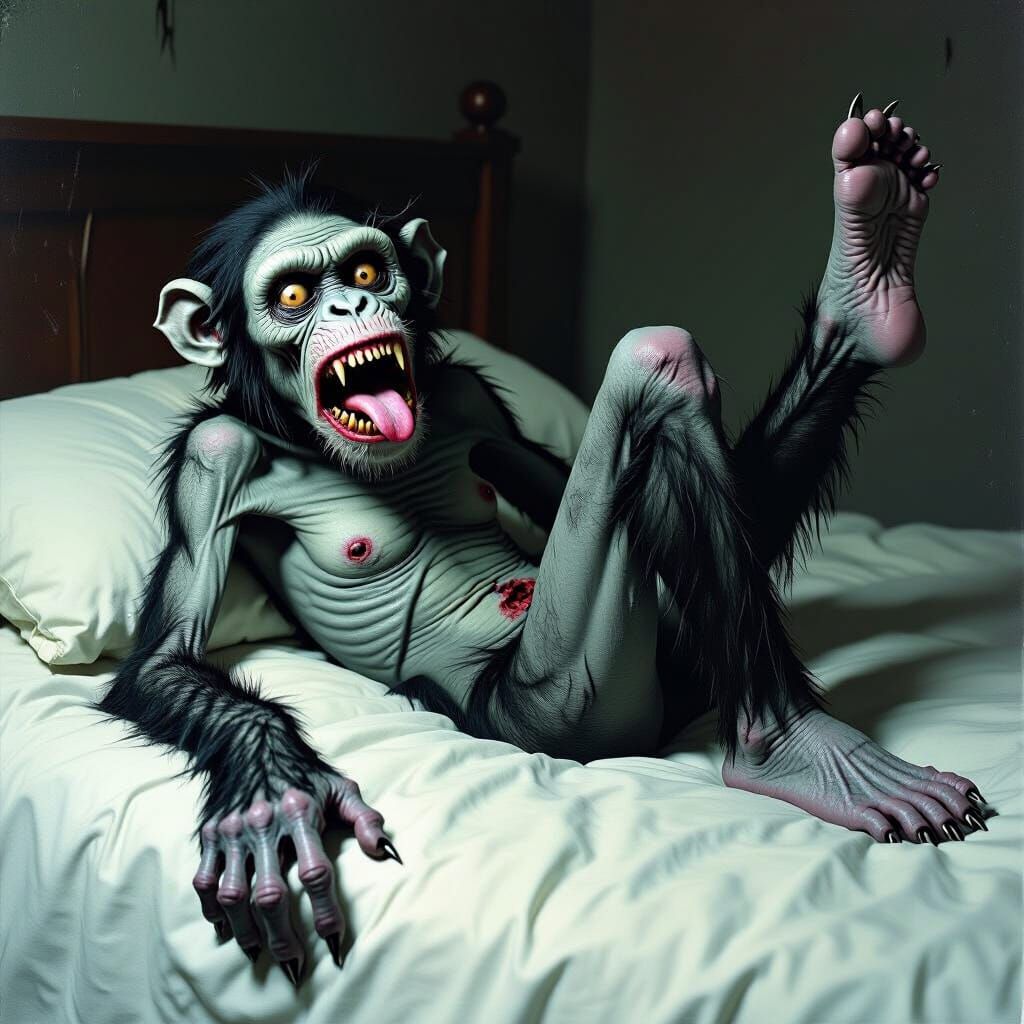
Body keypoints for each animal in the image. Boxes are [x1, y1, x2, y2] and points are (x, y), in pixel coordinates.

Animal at [98, 97, 988, 989]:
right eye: (292, 294)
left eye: (365, 275)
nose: (350, 310)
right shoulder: (213, 459)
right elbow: (168, 657)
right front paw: (273, 790)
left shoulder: (471, 397)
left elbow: (553, 484)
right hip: (569, 705)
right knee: (653, 360)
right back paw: (790, 749)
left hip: (673, 643)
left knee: (672, 403)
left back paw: (867, 293)